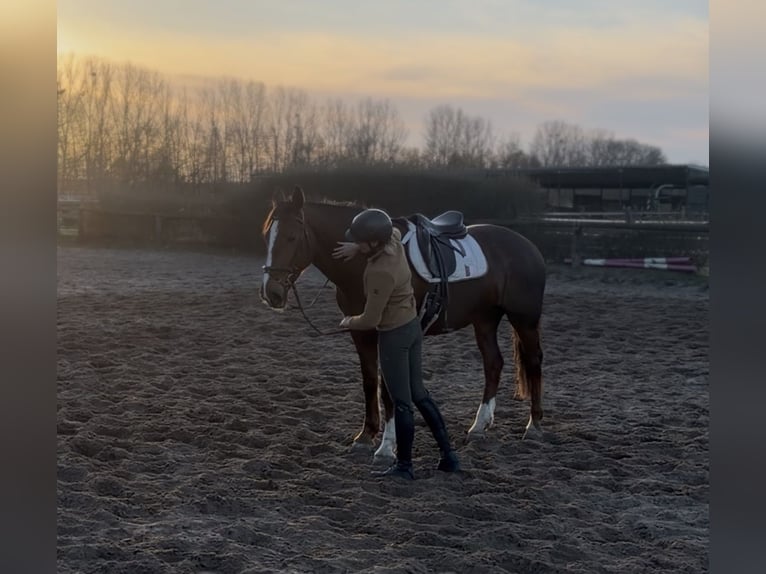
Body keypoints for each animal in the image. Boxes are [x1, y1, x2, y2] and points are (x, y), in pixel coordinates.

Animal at [259, 185, 546, 463]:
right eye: (267, 237)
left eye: (292, 237)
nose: (270, 292)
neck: (366, 262)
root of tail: (527, 246)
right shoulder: (361, 332)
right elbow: (369, 381)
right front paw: (366, 436)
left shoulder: (388, 333)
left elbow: (387, 389)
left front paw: (386, 447)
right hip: (484, 320)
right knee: (493, 363)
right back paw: (479, 426)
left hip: (524, 320)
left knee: (533, 361)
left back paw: (534, 426)